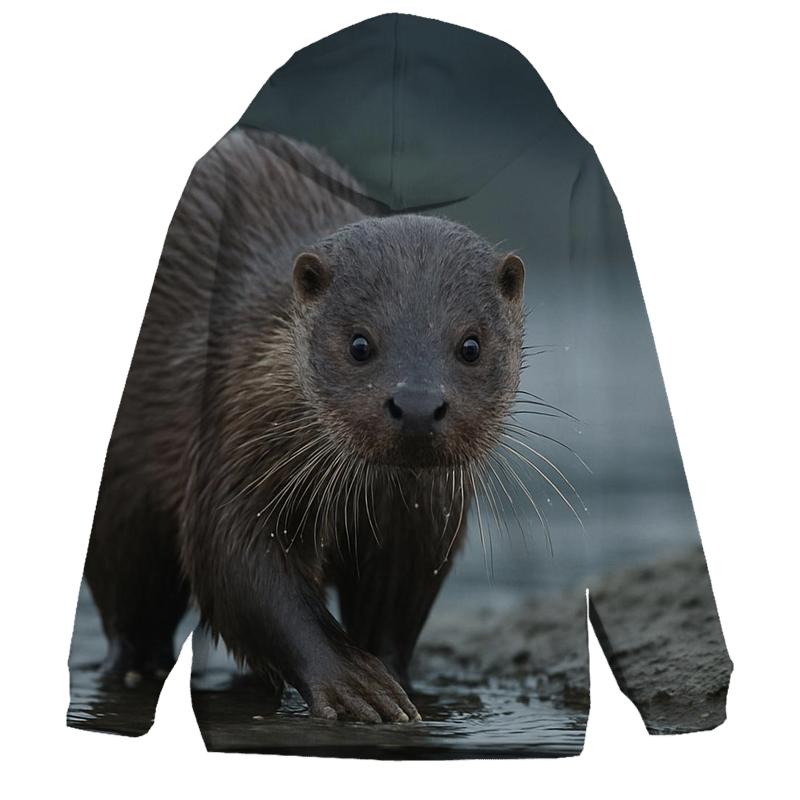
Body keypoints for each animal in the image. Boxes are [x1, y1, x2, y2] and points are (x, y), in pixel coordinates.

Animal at [84, 127, 525, 723]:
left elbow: (396, 607)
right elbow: (237, 563)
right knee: (129, 601)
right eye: (359, 343)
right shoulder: (234, 439)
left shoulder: (423, 524)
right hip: (123, 496)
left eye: (471, 345)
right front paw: (356, 684)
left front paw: (395, 679)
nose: (416, 404)